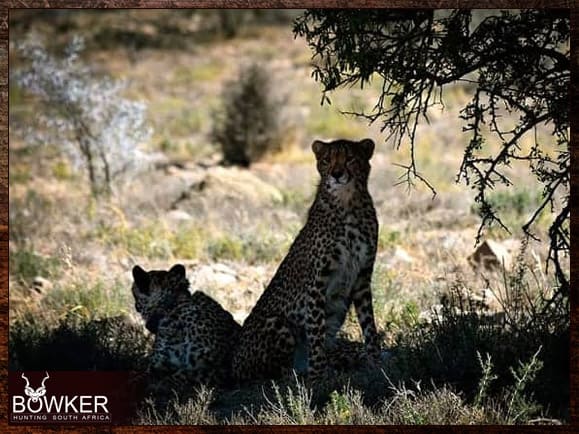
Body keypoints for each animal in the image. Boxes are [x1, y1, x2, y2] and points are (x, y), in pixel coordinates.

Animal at [131, 262, 240, 396]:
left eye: (134, 293)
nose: (135, 306)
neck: (171, 307)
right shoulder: (158, 364)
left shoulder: (222, 367)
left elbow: (187, 373)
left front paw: (161, 385)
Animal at [231, 137, 386, 382]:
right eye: (327, 160)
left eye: (350, 158)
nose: (336, 174)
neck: (348, 204)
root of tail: (232, 363)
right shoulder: (316, 284)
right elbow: (316, 335)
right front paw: (318, 379)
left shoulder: (362, 278)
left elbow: (369, 326)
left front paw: (376, 364)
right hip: (277, 324)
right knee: (275, 373)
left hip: (338, 309)